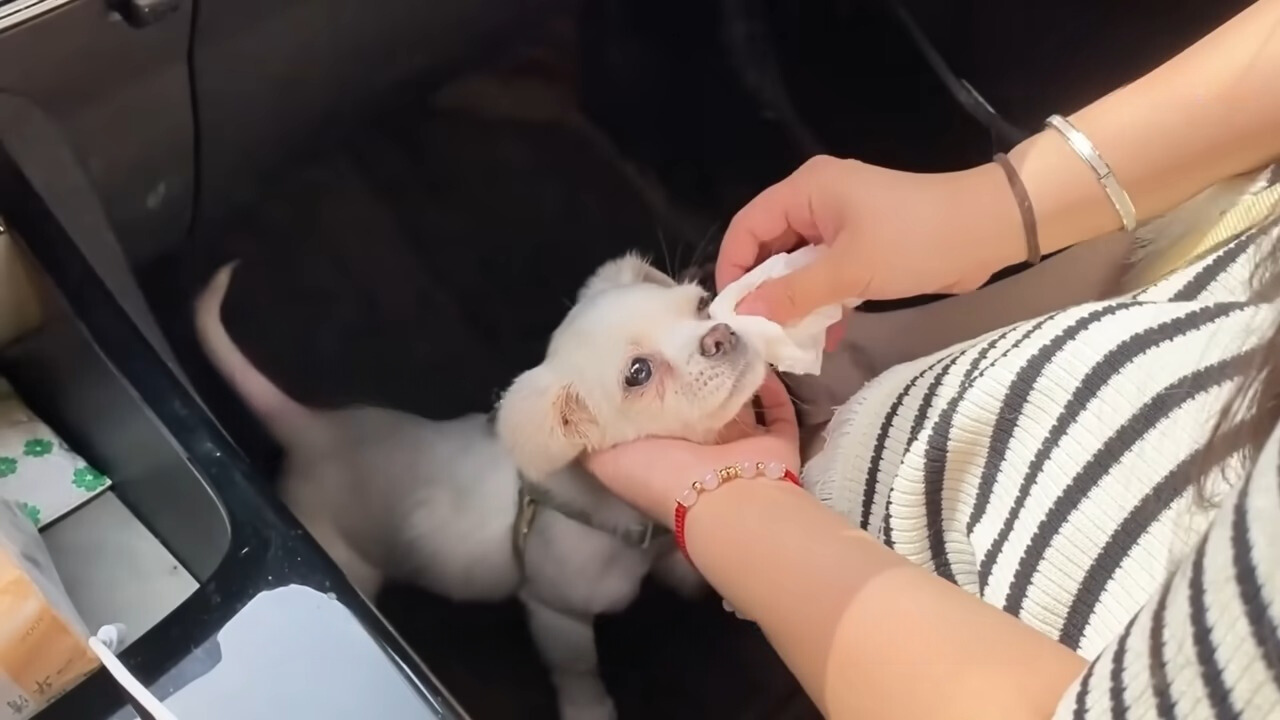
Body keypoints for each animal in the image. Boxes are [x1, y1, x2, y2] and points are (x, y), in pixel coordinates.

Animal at [194, 253, 762, 717]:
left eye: (704, 304)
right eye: (638, 373)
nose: (723, 334)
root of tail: (312, 431)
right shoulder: (556, 612)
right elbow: (577, 668)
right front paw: (590, 709)